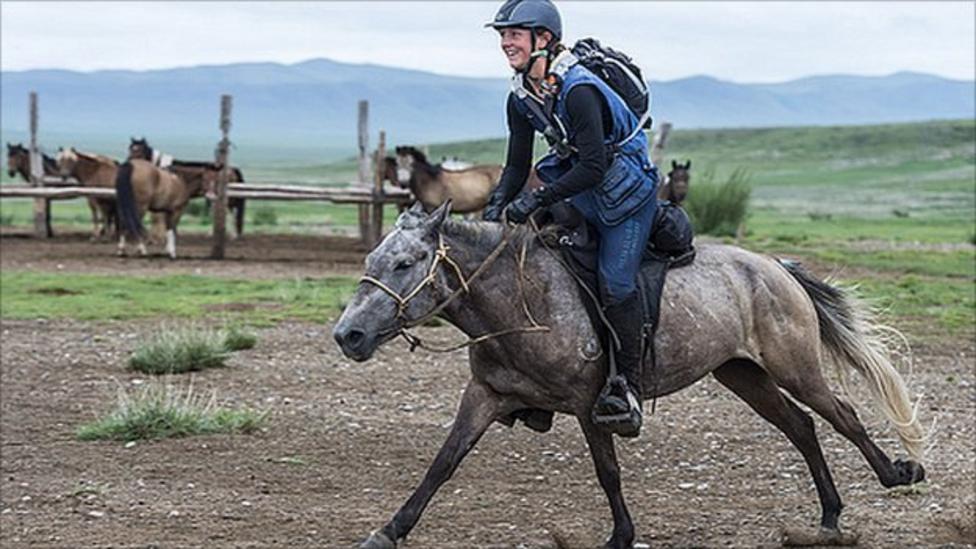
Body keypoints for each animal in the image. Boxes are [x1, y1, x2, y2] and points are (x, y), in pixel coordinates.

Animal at [333, 202, 926, 549]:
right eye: (372, 259)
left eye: (405, 263)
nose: (348, 335)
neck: (521, 300)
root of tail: (776, 268)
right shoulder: (484, 395)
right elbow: (442, 464)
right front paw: (389, 530)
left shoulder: (589, 402)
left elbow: (608, 472)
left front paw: (621, 536)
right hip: (742, 375)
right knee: (801, 426)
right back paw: (829, 516)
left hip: (794, 367)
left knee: (842, 415)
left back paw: (899, 473)